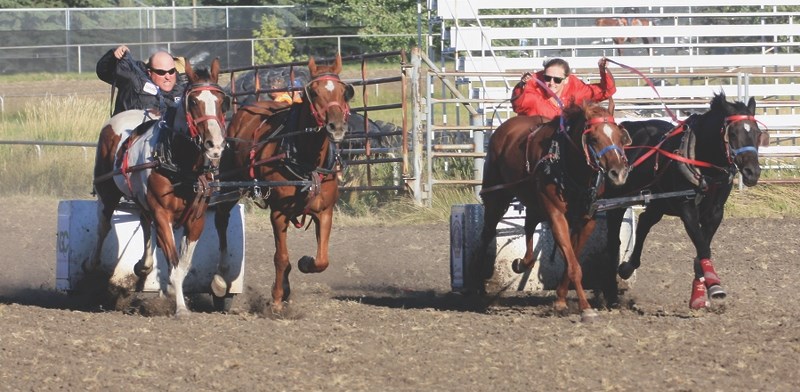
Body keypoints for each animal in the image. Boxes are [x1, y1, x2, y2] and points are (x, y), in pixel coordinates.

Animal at [212, 53, 354, 314]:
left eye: (343, 91)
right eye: (314, 92)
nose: (336, 127)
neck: (305, 159)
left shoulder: (324, 211)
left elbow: (322, 259)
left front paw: (305, 263)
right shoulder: (278, 213)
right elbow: (281, 257)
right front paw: (277, 299)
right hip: (229, 183)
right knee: (221, 220)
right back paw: (220, 277)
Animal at [476, 102, 632, 324]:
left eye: (620, 137)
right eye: (593, 138)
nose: (619, 173)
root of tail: (503, 130)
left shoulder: (587, 221)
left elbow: (571, 261)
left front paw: (560, 300)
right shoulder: (556, 216)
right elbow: (574, 266)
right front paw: (585, 308)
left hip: (532, 200)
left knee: (529, 226)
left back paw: (521, 263)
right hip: (496, 198)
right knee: (486, 234)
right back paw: (478, 288)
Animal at [604, 92, 764, 310]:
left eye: (758, 133)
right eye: (732, 134)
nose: (752, 172)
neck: (706, 168)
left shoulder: (715, 213)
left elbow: (702, 249)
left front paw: (699, 294)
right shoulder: (687, 208)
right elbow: (702, 247)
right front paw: (715, 286)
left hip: (659, 202)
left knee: (645, 222)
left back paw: (627, 268)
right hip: (618, 199)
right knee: (614, 236)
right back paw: (612, 288)